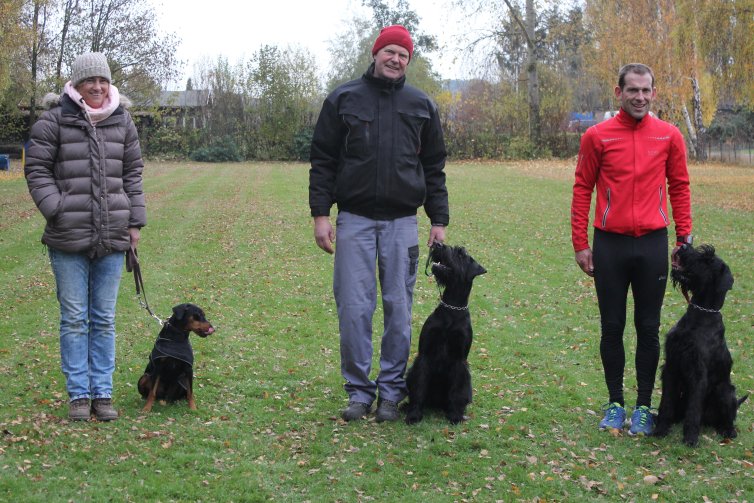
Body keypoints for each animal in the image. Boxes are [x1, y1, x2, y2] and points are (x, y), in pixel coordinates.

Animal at [402, 244, 484, 426]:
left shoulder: (459, 360)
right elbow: (419, 387)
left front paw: (454, 415)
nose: (437, 245)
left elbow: (456, 390)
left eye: (460, 254)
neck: (452, 309)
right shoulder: (424, 355)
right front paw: (414, 414)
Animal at [652, 246, 748, 446]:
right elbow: (666, 403)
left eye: (708, 260)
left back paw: (728, 431)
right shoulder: (671, 367)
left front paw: (690, 438)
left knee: (727, 418)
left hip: (725, 391)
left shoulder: (698, 374)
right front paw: (661, 429)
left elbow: (694, 409)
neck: (701, 315)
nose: (683, 247)